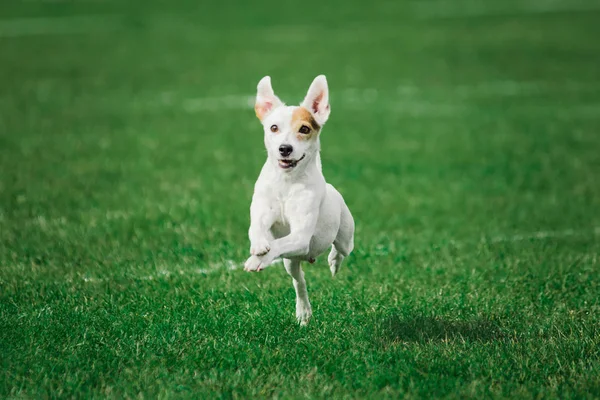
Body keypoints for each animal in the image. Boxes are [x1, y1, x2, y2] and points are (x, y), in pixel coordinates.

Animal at [244, 75, 354, 324]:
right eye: (274, 127)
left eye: (304, 129)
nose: (285, 148)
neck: (287, 183)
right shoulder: (263, 210)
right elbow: (257, 229)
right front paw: (258, 246)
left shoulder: (301, 235)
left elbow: (277, 244)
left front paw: (257, 260)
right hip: (290, 261)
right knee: (299, 280)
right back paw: (303, 311)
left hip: (345, 235)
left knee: (341, 249)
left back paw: (333, 262)